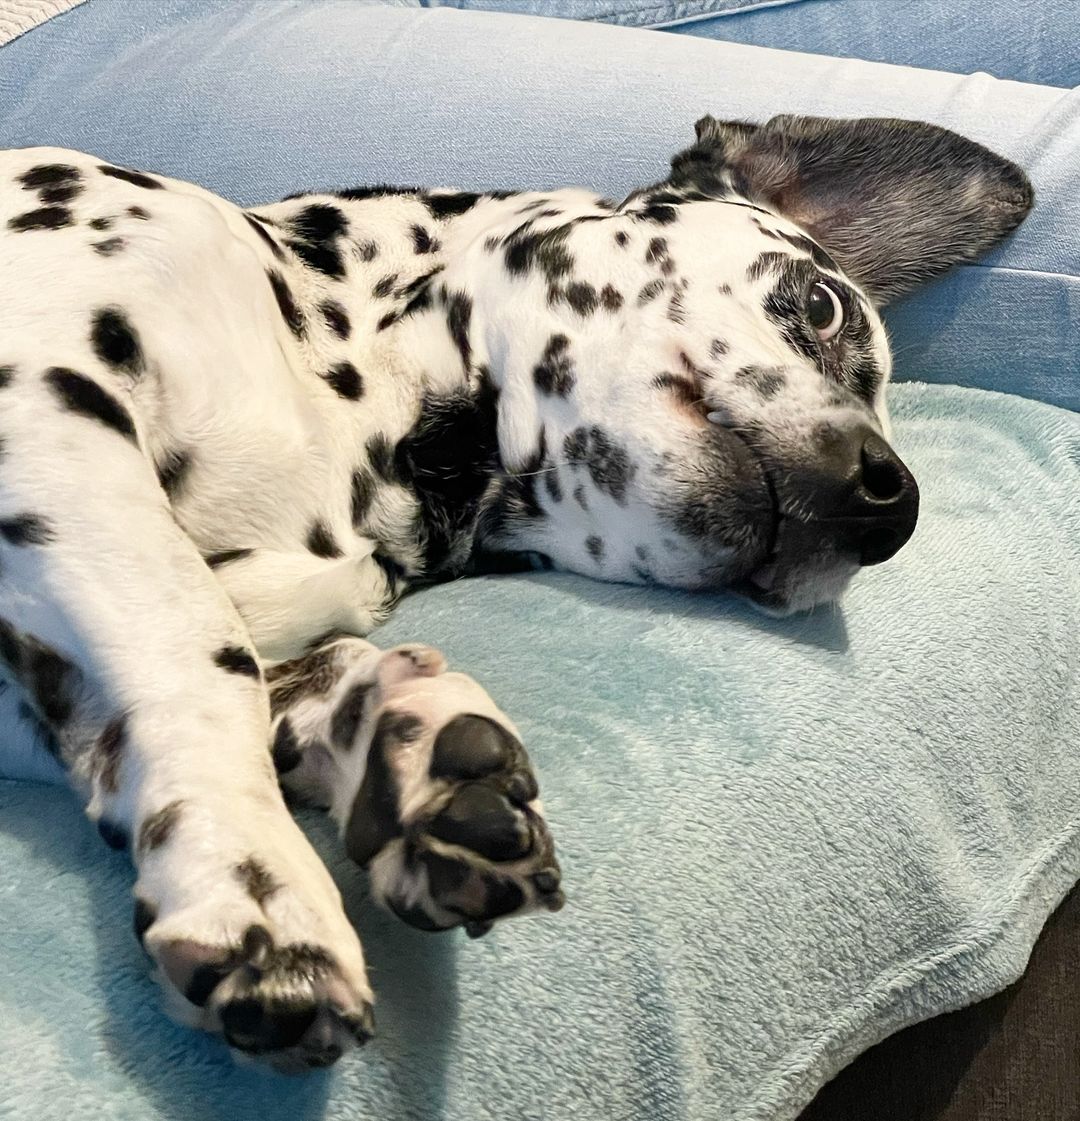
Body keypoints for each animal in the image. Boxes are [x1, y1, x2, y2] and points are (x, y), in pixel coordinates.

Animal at [0, 113, 1031, 1067]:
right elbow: (198, 654)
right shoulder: (54, 420)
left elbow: (288, 673)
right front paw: (252, 875)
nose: (890, 502)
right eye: (824, 307)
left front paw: (405, 744)